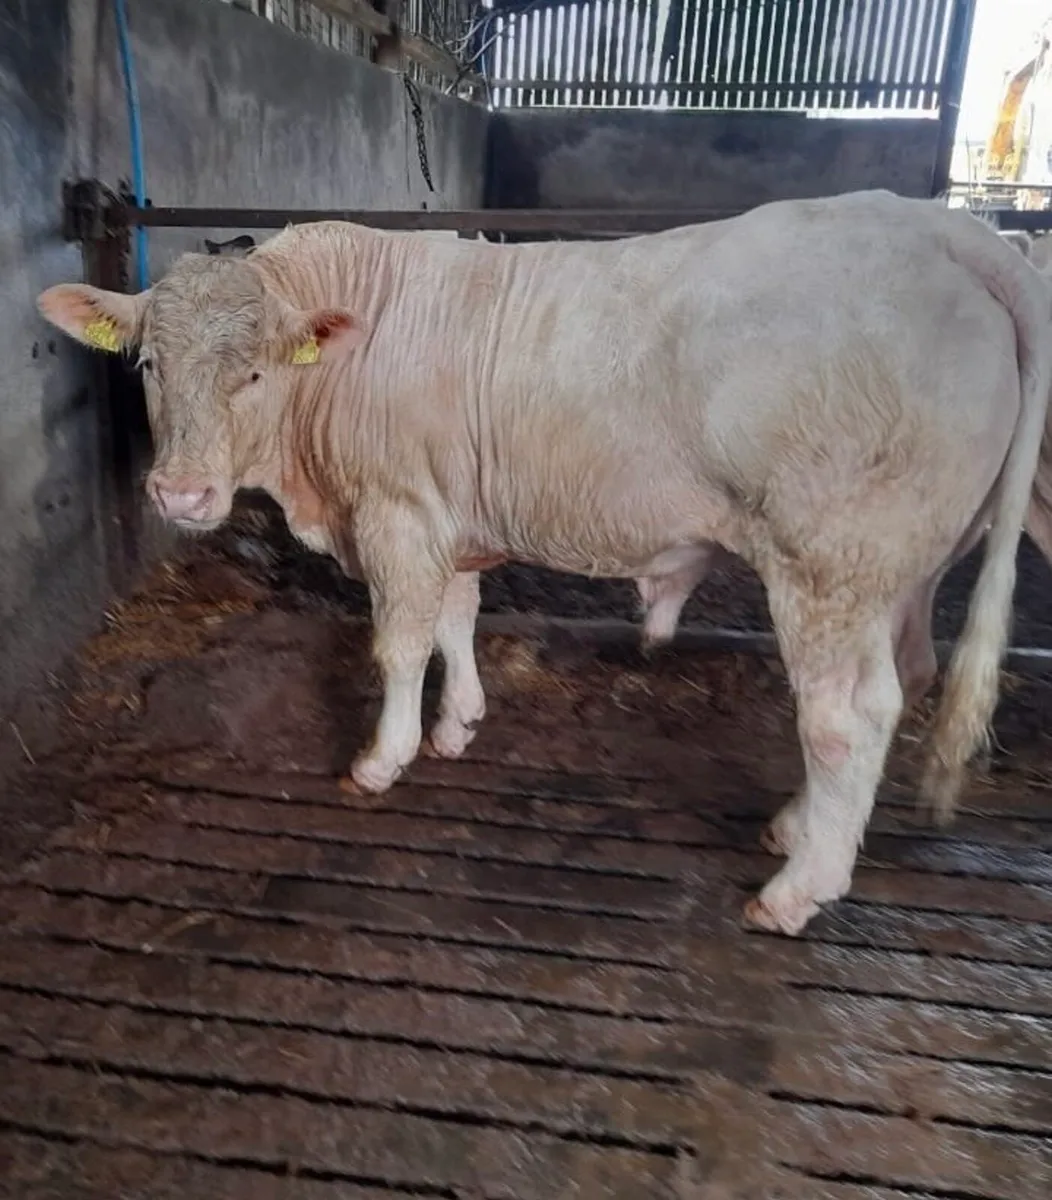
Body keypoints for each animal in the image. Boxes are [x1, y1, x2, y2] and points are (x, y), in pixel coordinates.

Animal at [37, 189, 1052, 936]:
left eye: (254, 372)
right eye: (148, 367)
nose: (181, 495)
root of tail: (949, 229)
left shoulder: (397, 512)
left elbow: (399, 645)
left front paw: (383, 758)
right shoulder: (445, 512)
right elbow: (456, 619)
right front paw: (457, 725)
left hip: (829, 561)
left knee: (847, 715)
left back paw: (801, 884)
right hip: (899, 568)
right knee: (905, 679)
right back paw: (800, 829)